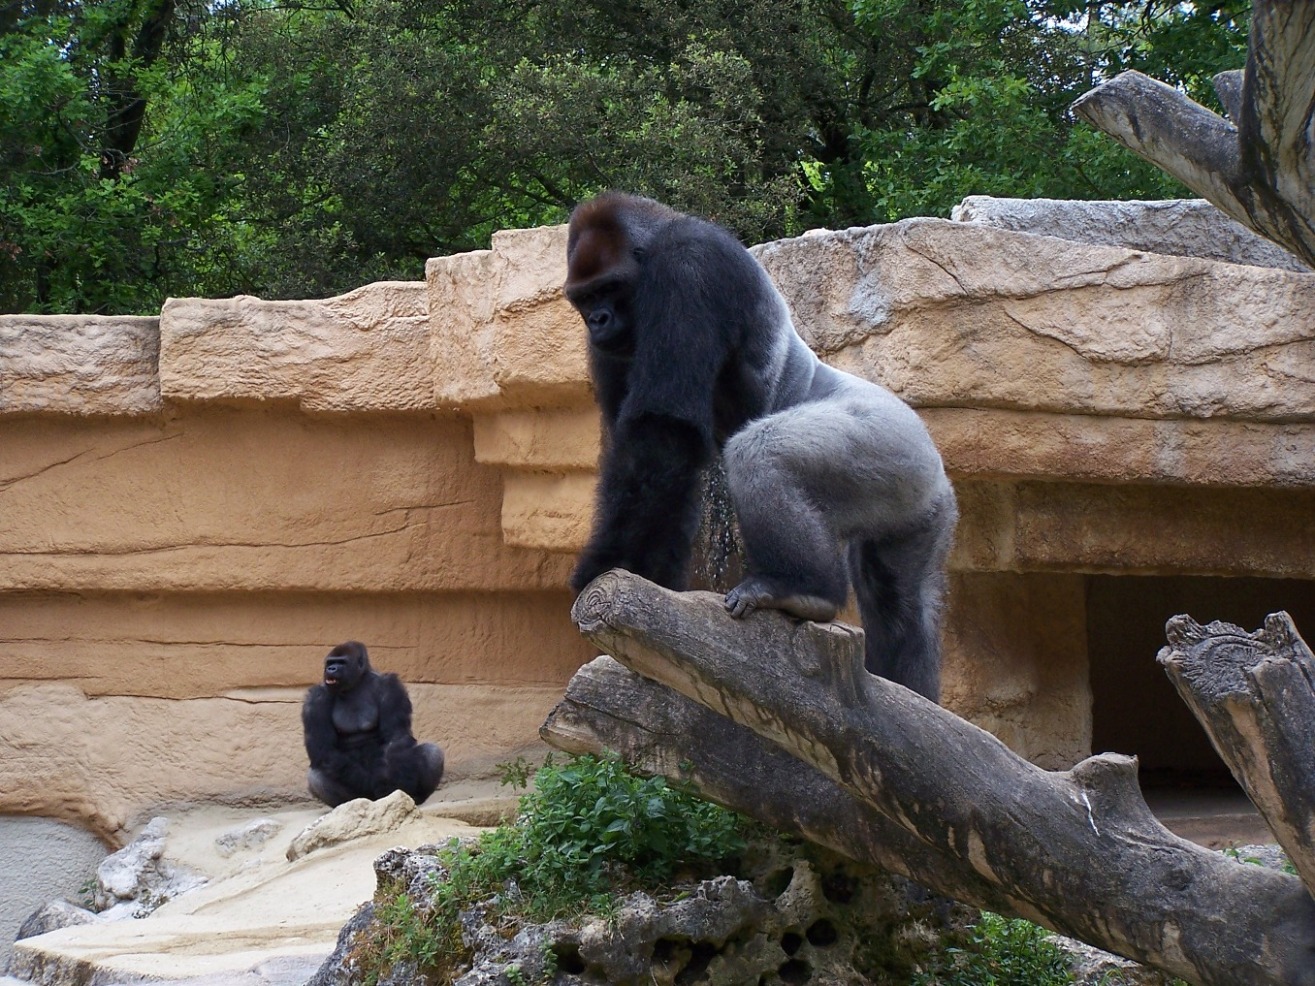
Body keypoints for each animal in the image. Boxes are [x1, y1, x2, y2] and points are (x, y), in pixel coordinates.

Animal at [301, 641, 444, 809]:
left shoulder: (390, 686)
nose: (331, 669)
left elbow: (396, 737)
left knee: (433, 751)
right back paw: (345, 805)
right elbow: (324, 749)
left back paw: (416, 797)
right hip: (365, 798)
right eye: (330, 663)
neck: (356, 684)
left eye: (341, 662)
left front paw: (398, 783)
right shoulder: (316, 698)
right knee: (316, 774)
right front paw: (369, 783)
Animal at [562, 193, 957, 704]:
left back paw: (804, 589)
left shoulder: (689, 267)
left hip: (894, 440)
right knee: (901, 598)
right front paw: (652, 585)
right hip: (920, 499)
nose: (598, 320)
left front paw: (611, 565)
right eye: (585, 298)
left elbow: (662, 433)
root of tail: (938, 468)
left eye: (610, 289)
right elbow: (660, 461)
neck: (656, 240)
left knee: (762, 451)